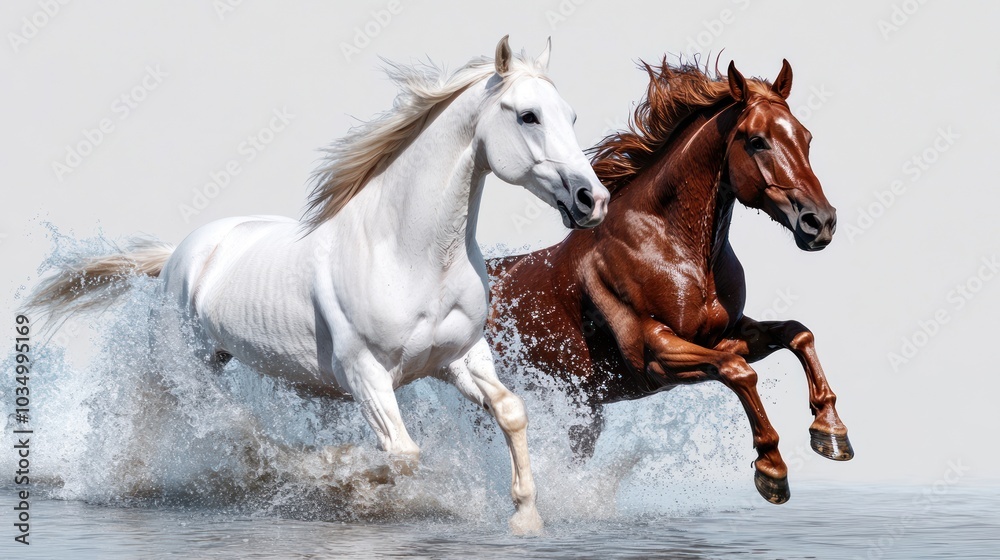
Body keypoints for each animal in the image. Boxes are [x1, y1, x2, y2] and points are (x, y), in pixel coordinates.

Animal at [25, 36, 610, 533]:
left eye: (572, 115)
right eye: (529, 115)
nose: (592, 199)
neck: (411, 255)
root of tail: (181, 256)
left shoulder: (460, 358)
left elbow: (511, 412)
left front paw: (525, 518)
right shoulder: (365, 372)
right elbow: (403, 456)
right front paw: (343, 477)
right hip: (187, 364)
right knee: (223, 427)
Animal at [487, 58, 851, 505]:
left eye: (806, 138)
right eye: (756, 141)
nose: (820, 222)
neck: (671, 247)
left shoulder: (727, 333)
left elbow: (798, 333)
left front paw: (831, 432)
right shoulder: (655, 354)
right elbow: (739, 372)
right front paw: (772, 468)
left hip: (584, 413)